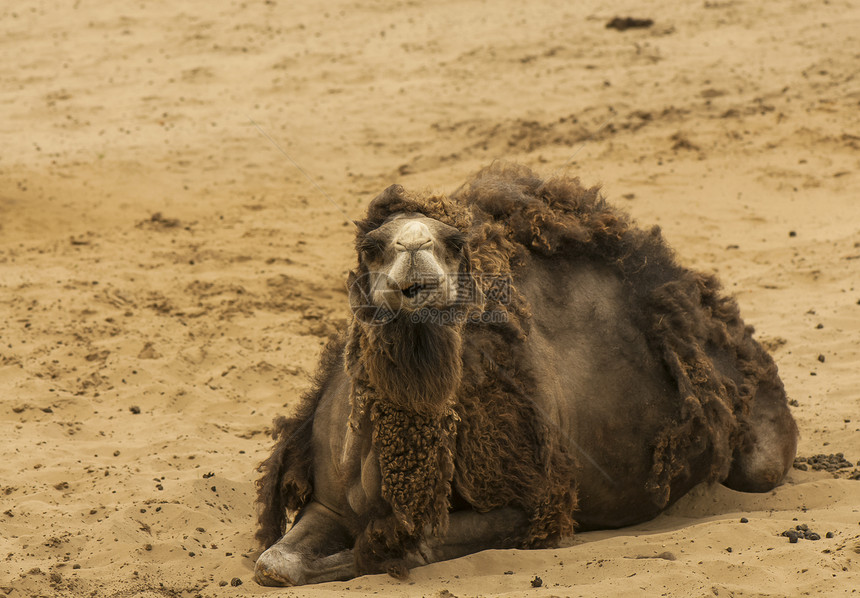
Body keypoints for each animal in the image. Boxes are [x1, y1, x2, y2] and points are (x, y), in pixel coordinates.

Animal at [254, 163, 800, 584]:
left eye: (454, 242)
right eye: (370, 246)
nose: (414, 254)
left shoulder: (528, 502)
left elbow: (408, 548)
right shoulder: (328, 502)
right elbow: (274, 564)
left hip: (759, 439)